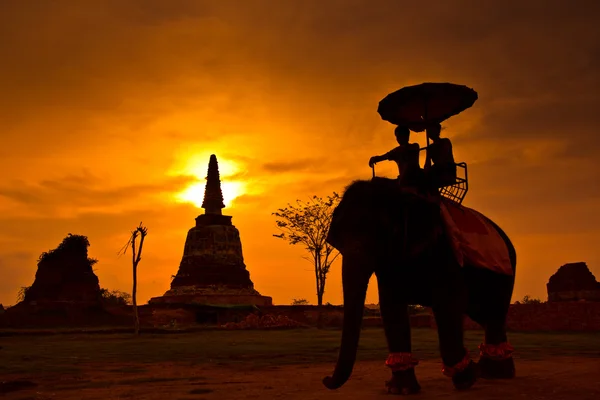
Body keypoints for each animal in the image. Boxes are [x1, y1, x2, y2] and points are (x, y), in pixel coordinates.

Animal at [324, 178, 516, 394]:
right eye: (337, 242)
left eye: (383, 231)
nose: (325, 379)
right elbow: (391, 306)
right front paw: (400, 390)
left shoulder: (444, 250)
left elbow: (448, 302)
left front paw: (467, 379)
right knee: (485, 315)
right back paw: (493, 372)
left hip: (504, 270)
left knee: (492, 312)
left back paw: (492, 373)